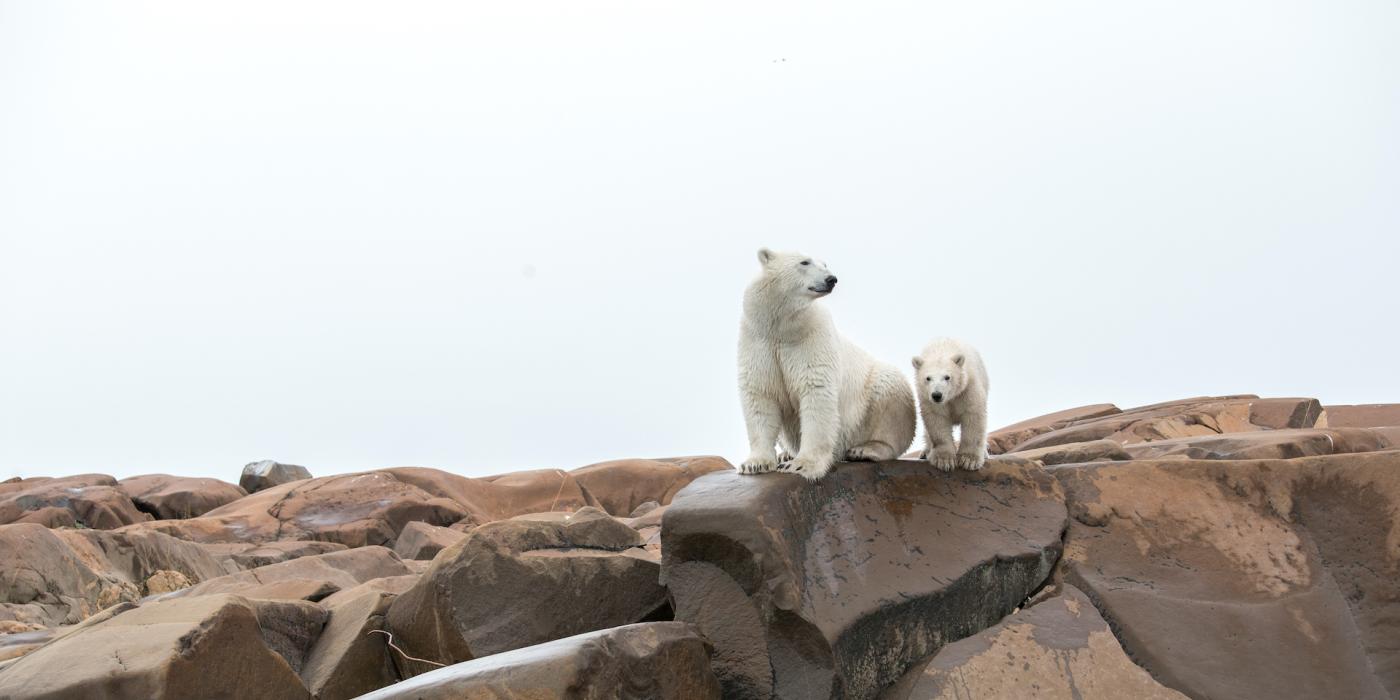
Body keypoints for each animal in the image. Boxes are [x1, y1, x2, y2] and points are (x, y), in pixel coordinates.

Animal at [733, 249, 918, 484]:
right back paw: (786, 453)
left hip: (874, 398)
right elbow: (760, 395)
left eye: (825, 264)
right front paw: (755, 464)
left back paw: (865, 450)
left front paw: (801, 465)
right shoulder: (758, 340)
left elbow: (816, 393)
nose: (831, 279)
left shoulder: (811, 338)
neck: (782, 327)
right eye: (804, 262)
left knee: (890, 402)